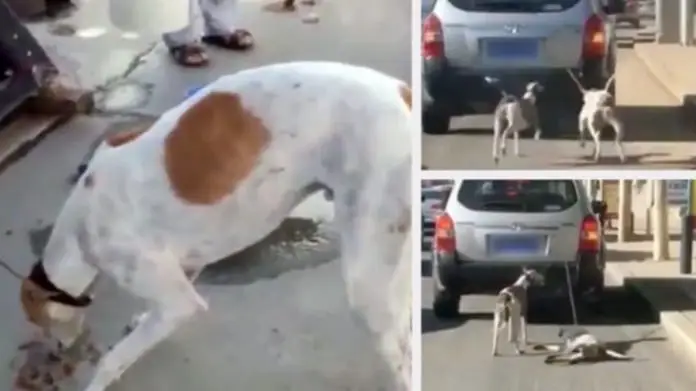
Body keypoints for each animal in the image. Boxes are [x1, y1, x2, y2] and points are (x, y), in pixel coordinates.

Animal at [17, 60, 414, 391]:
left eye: (41, 322)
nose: (55, 353)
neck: (79, 230)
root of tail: (403, 92)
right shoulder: (185, 268)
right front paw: (141, 316)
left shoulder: (177, 302)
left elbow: (113, 359)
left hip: (367, 281)